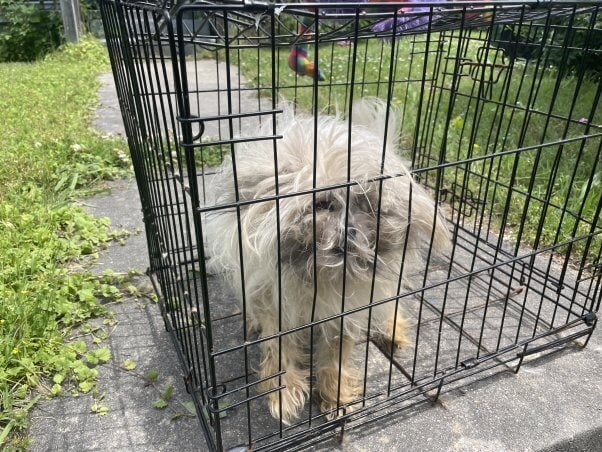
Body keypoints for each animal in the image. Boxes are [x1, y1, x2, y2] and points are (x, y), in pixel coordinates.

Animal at [204, 98, 448, 424]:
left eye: (368, 205)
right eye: (322, 204)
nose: (350, 232)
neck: (320, 276)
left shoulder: (344, 310)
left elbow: (336, 357)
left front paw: (336, 396)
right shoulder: (275, 299)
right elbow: (279, 348)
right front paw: (284, 392)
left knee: (391, 299)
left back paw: (391, 329)